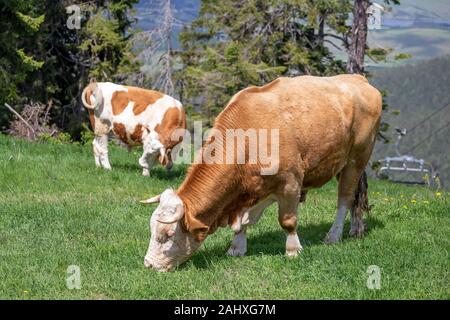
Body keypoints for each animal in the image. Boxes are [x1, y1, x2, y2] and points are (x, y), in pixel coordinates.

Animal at [140, 74, 380, 272]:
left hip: (357, 158)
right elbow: (244, 221)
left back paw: (334, 235)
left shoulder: (291, 182)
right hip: (342, 162)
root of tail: (359, 79)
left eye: (166, 235)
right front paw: (236, 247)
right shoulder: (249, 191)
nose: (148, 264)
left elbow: (288, 221)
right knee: (357, 196)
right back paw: (356, 228)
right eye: (151, 229)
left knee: (345, 198)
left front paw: (293, 250)